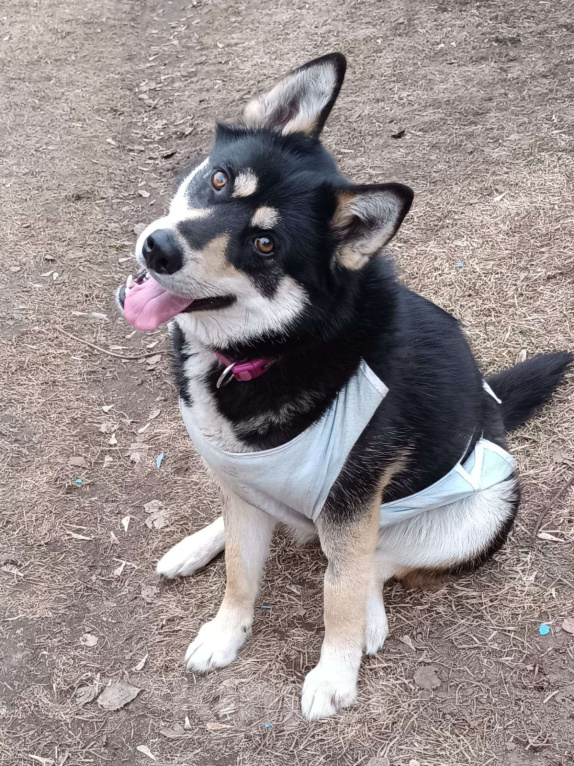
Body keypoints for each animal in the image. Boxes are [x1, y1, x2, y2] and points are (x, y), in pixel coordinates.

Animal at [116, 52, 572, 720]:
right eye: (221, 180)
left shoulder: (352, 506)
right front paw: (225, 632)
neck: (275, 349)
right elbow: (241, 571)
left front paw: (335, 672)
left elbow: (341, 591)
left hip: (487, 506)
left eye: (264, 244)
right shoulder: (240, 479)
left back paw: (369, 622)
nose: (159, 248)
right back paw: (197, 545)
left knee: (377, 563)